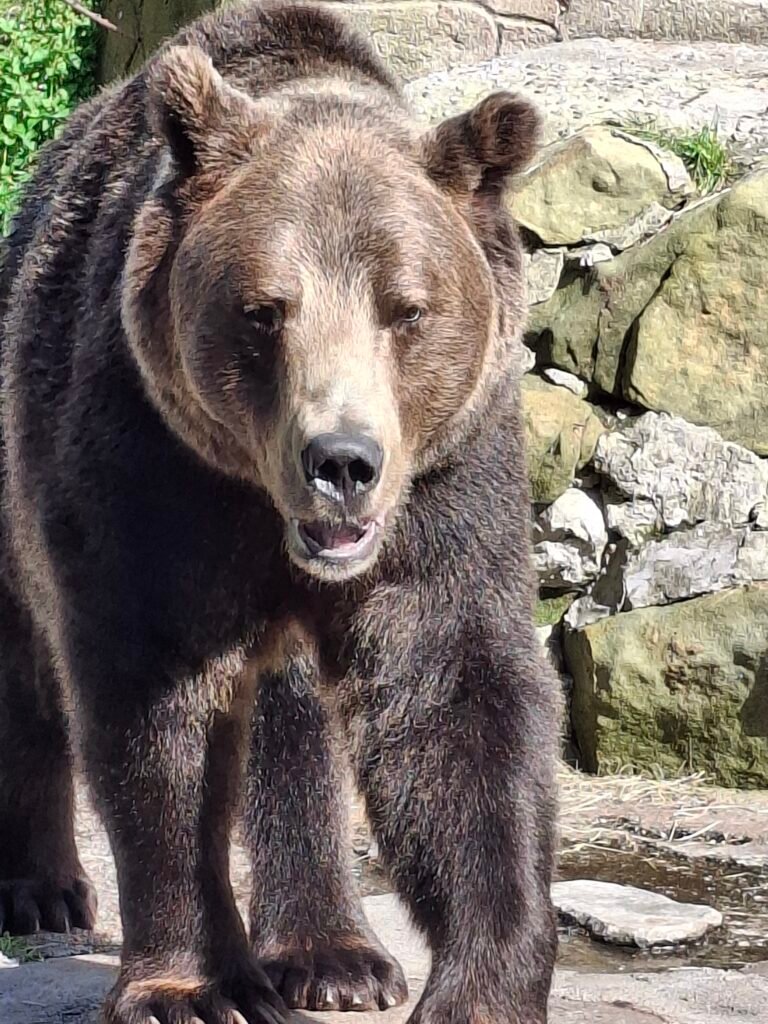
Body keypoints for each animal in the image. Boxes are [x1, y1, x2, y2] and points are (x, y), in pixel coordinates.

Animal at [0, 2, 560, 1023]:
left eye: (407, 308)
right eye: (264, 310)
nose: (342, 462)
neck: (257, 505)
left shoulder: (448, 485)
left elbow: (456, 702)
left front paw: (478, 985)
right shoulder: (148, 461)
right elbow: (157, 711)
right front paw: (188, 986)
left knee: (292, 720)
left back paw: (333, 952)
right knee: (25, 657)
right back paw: (43, 887)